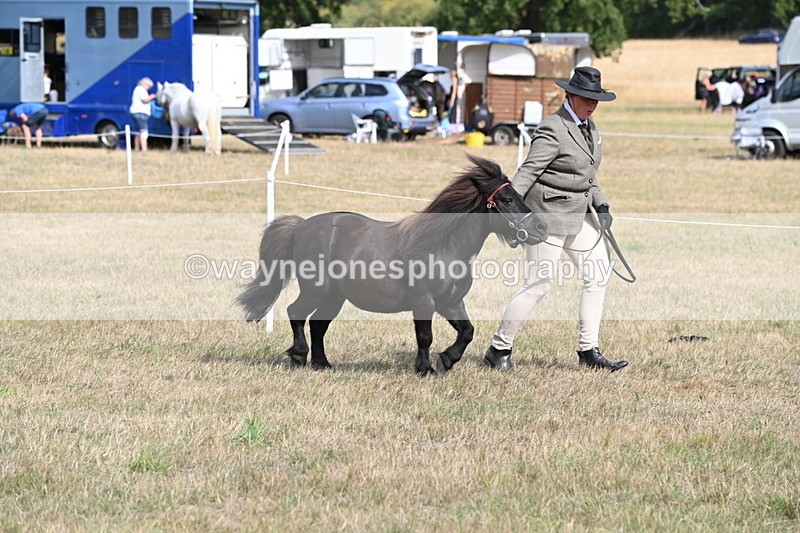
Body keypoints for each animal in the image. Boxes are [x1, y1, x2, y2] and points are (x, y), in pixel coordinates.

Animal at [236, 155, 548, 376]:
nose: (541, 227)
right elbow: (425, 336)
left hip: (335, 297)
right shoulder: (424, 301)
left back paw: (322, 363)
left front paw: (446, 361)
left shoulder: (451, 302)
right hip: (316, 290)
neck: (443, 247)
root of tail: (301, 227)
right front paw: (425, 368)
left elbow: (467, 332)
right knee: (296, 313)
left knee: (318, 324)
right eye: (507, 199)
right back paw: (299, 356)